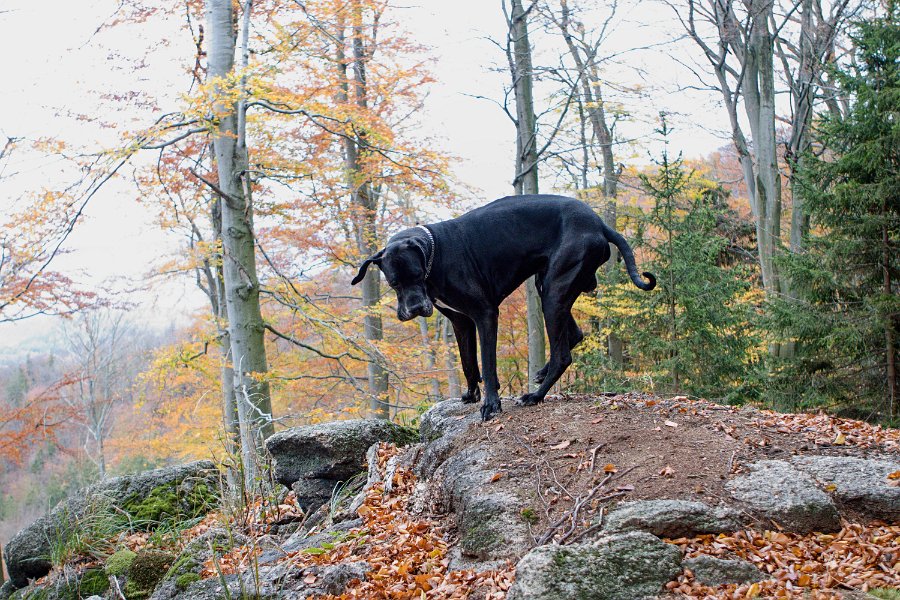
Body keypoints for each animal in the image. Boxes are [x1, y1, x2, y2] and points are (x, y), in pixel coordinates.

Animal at [350, 195, 652, 420]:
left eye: (418, 274)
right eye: (394, 282)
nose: (414, 309)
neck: (436, 253)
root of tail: (599, 223)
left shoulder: (485, 314)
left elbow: (487, 362)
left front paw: (491, 404)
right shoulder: (461, 321)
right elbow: (468, 362)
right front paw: (472, 394)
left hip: (555, 289)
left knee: (563, 355)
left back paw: (536, 396)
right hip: (548, 284)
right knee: (573, 335)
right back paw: (541, 373)